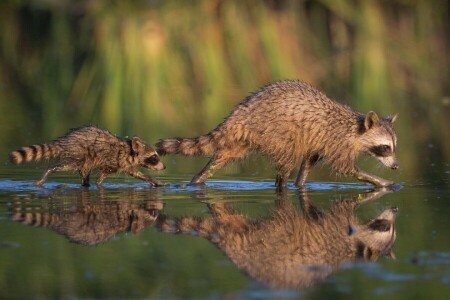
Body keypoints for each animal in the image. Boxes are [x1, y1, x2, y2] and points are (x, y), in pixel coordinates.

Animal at [9, 125, 164, 186]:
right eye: (154, 157)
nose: (164, 167)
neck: (130, 150)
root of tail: (63, 141)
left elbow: (136, 173)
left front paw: (153, 181)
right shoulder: (116, 161)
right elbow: (101, 177)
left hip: (85, 160)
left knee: (84, 175)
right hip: (78, 155)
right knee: (61, 166)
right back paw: (48, 172)